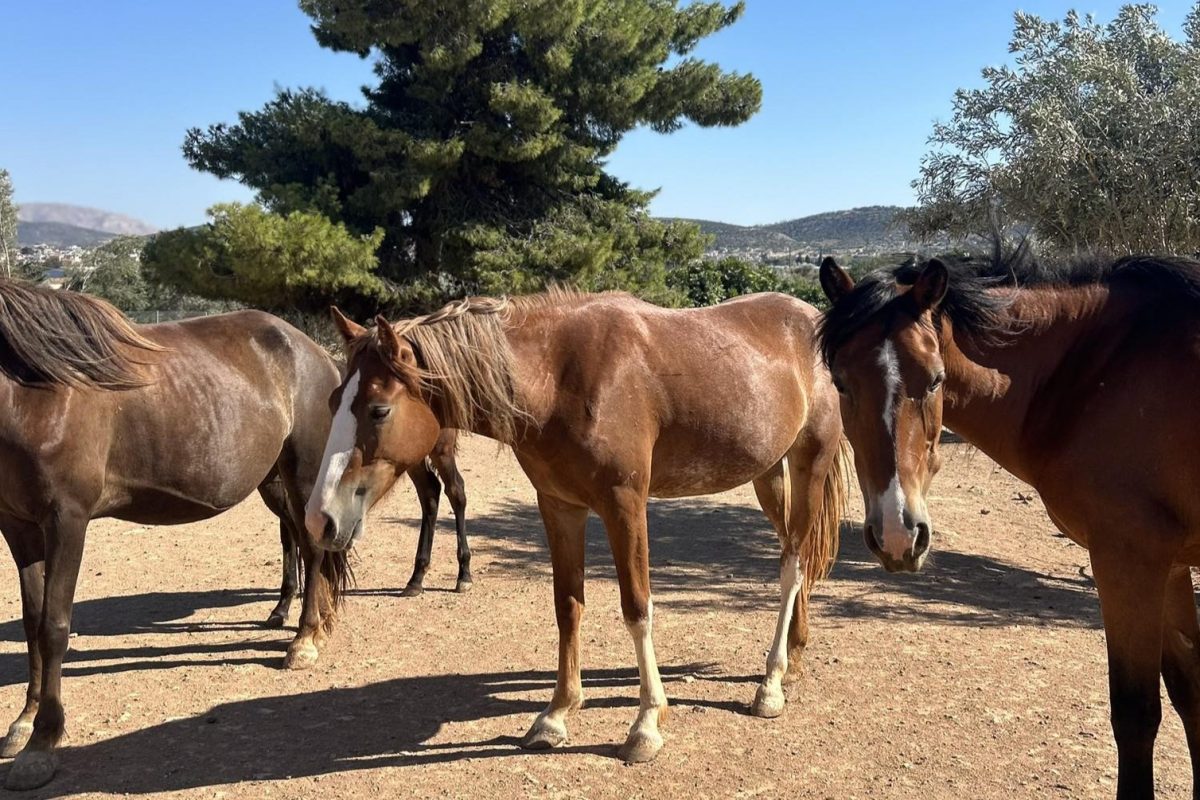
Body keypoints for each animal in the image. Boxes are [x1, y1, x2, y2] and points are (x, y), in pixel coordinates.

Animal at [0, 278, 358, 790]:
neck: (33, 394)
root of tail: (314, 352)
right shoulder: (19, 527)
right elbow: (32, 623)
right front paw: (24, 723)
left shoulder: (66, 520)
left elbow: (54, 626)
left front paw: (43, 741)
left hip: (303, 472)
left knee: (311, 548)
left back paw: (304, 640)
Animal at [268, 427, 471, 619]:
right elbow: (288, 538)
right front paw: (282, 607)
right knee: (430, 492)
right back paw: (416, 578)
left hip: (441, 447)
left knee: (456, 491)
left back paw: (464, 575)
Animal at [304, 289, 851, 763]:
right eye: (333, 402)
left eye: (379, 409)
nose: (319, 520)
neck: (558, 377)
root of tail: (810, 319)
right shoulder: (559, 506)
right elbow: (567, 606)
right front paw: (555, 715)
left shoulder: (624, 505)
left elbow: (637, 608)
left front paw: (646, 724)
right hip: (768, 474)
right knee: (793, 555)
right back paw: (795, 655)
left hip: (809, 464)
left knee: (792, 564)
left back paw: (771, 683)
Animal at [817, 251, 1200, 799]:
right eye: (842, 383)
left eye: (934, 380)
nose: (897, 534)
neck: (1096, 369)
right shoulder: (1169, 567)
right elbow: (1191, 693)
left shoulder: (1129, 563)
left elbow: (1135, 713)